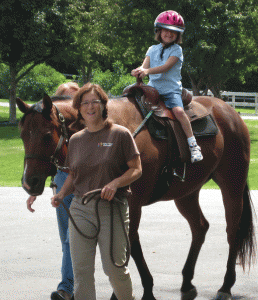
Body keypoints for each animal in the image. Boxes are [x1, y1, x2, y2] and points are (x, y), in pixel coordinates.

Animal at [16, 85, 256, 300]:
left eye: (47, 135)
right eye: (23, 135)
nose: (29, 182)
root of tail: (230, 112)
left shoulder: (131, 202)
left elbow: (127, 245)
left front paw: (138, 291)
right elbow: (128, 245)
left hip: (231, 186)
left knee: (232, 231)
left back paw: (225, 287)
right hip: (187, 193)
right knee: (200, 227)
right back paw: (187, 283)